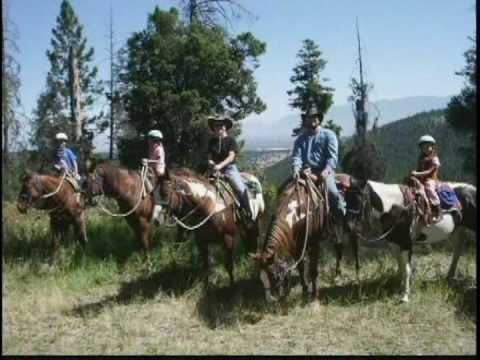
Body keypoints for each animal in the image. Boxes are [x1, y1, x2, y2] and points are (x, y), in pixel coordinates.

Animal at [344, 179, 476, 302]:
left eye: (358, 200)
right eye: (345, 199)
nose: (348, 227)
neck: (397, 207)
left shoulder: (406, 244)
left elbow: (407, 269)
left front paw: (405, 296)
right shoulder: (394, 244)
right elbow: (401, 267)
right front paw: (400, 288)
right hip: (457, 230)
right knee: (457, 251)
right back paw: (449, 276)